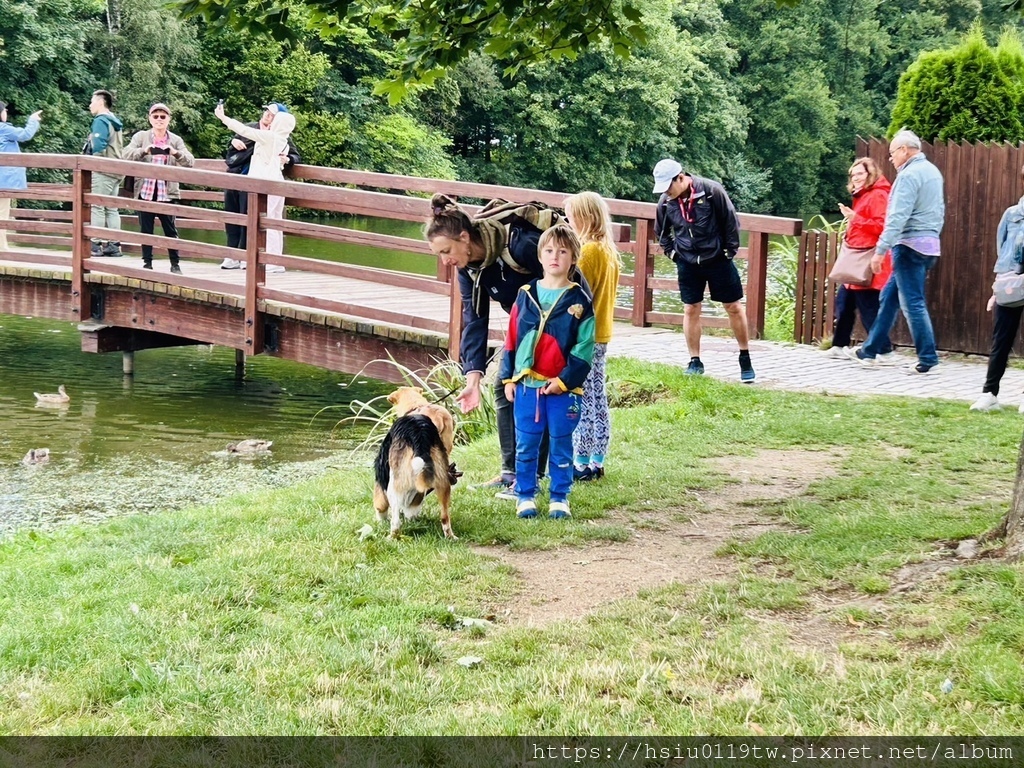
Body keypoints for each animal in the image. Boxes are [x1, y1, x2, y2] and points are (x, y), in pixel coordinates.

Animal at [376, 409, 456, 540]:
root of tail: (418, 431)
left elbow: (380, 507)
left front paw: (381, 521)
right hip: (443, 481)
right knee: (445, 517)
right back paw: (450, 537)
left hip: (394, 486)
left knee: (396, 521)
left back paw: (391, 537)